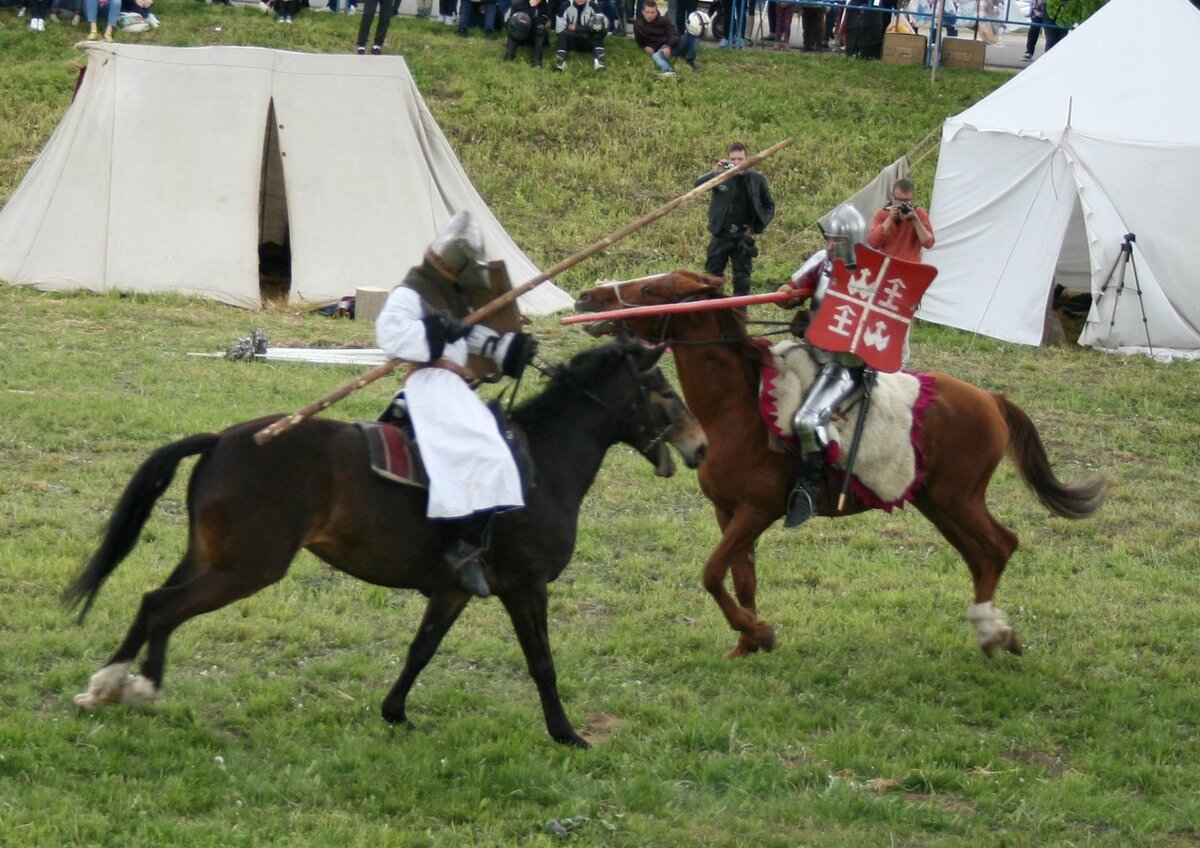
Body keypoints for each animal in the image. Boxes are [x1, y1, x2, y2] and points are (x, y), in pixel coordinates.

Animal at [65, 340, 705, 748]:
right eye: (662, 391)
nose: (700, 446)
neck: (539, 466)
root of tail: (223, 440)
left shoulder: (454, 590)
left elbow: (421, 650)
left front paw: (394, 713)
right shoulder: (526, 588)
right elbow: (542, 664)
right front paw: (567, 733)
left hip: (210, 557)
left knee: (154, 602)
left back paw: (110, 684)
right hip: (245, 568)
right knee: (162, 607)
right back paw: (136, 684)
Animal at [576, 272, 1108, 662]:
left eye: (649, 291)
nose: (586, 296)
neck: (737, 407)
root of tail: (992, 401)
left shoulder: (757, 511)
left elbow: (710, 573)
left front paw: (758, 632)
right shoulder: (729, 512)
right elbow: (740, 577)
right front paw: (749, 642)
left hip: (958, 498)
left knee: (999, 546)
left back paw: (991, 631)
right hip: (938, 502)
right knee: (983, 555)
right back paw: (997, 632)